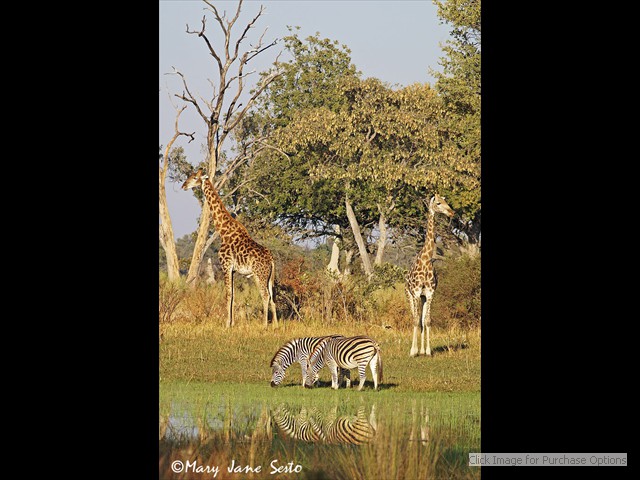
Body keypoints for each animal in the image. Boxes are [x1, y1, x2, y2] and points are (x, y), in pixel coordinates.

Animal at [182, 168, 278, 327]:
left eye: (195, 178)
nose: (184, 185)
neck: (223, 230)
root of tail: (271, 259)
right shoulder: (232, 270)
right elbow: (232, 295)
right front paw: (232, 323)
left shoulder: (225, 265)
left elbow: (228, 294)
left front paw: (227, 324)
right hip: (269, 277)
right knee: (272, 296)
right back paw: (276, 324)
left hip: (260, 274)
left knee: (265, 295)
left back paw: (264, 324)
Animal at [405, 194, 455, 357]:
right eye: (438, 203)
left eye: (446, 201)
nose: (451, 212)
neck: (426, 261)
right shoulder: (415, 293)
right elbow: (415, 321)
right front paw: (413, 351)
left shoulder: (429, 293)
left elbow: (427, 321)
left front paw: (427, 351)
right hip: (409, 295)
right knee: (414, 318)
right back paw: (415, 350)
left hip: (423, 298)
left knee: (421, 320)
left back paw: (422, 350)